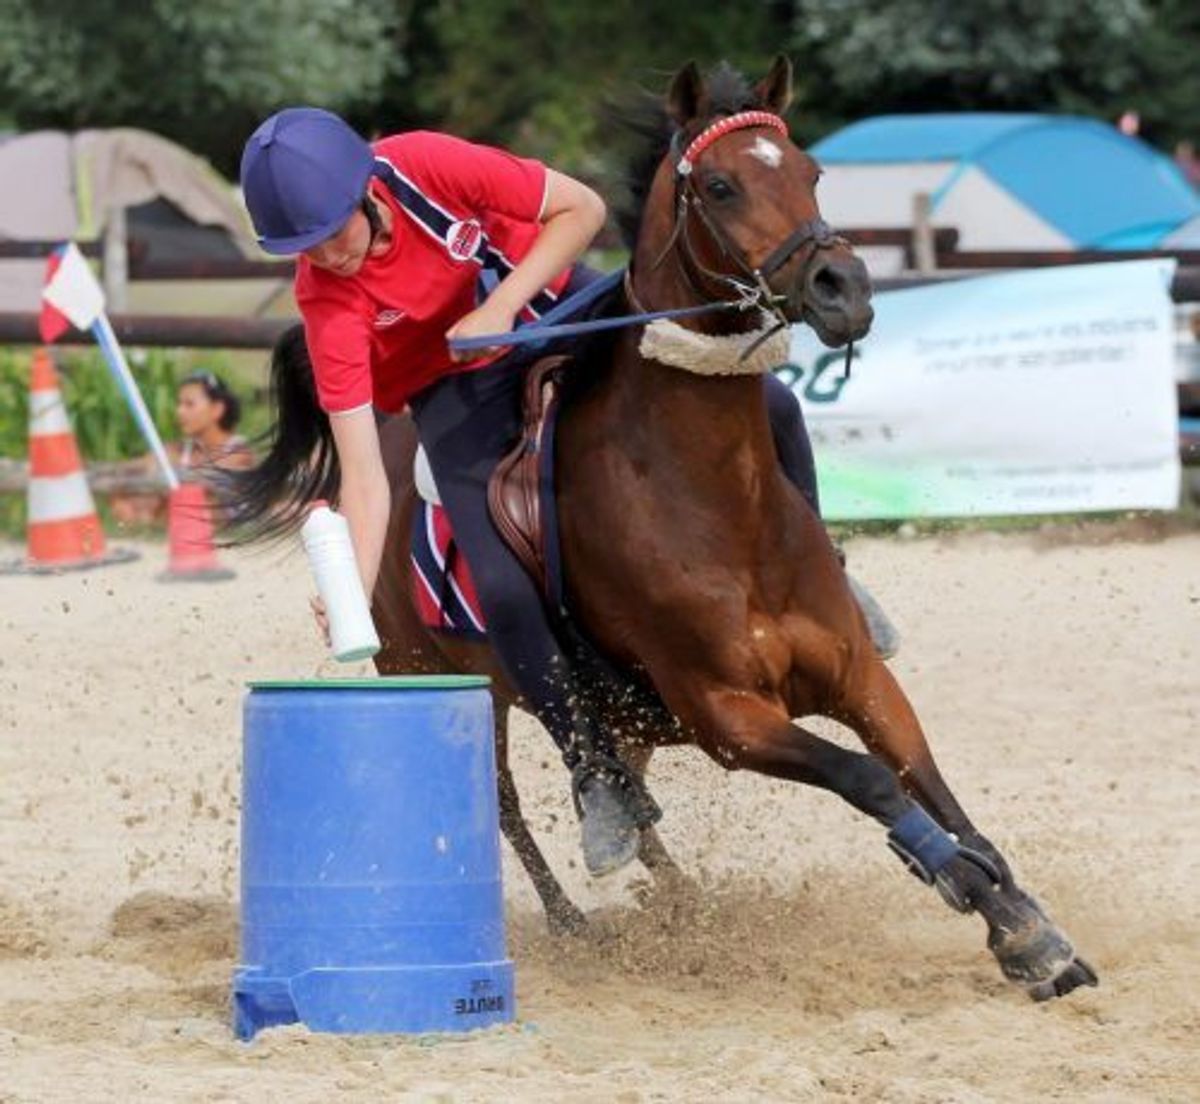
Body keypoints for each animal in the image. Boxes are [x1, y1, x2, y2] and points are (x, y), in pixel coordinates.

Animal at [244, 57, 1096, 1001]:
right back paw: (575, 920)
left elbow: (930, 781)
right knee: (509, 804)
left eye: (812, 172)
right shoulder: (729, 717)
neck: (722, 511)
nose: (843, 287)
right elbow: (871, 780)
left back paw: (680, 898)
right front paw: (970, 890)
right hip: (435, 676)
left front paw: (1020, 920)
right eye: (720, 186)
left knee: (625, 795)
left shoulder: (860, 678)